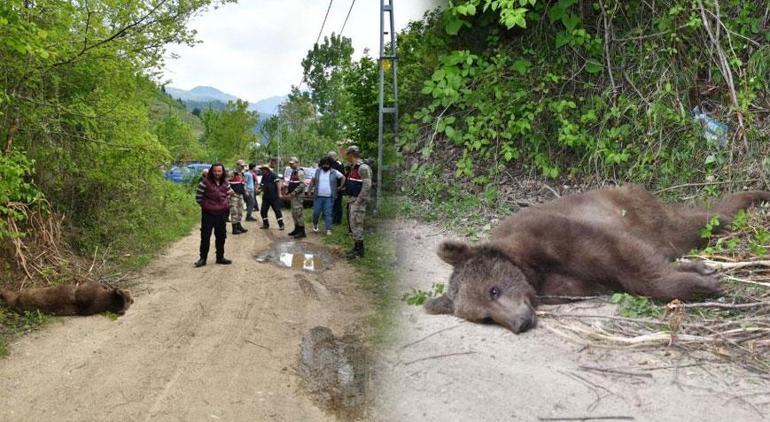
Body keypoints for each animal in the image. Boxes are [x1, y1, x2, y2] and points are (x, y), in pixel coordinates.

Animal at [424, 185, 768, 332]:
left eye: (493, 290)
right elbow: (623, 274)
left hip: (641, 211)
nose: (519, 323)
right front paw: (702, 273)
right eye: (485, 317)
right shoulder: (564, 284)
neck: (531, 271)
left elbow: (628, 260)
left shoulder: (556, 234)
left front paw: (706, 284)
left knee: (692, 224)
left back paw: (748, 203)